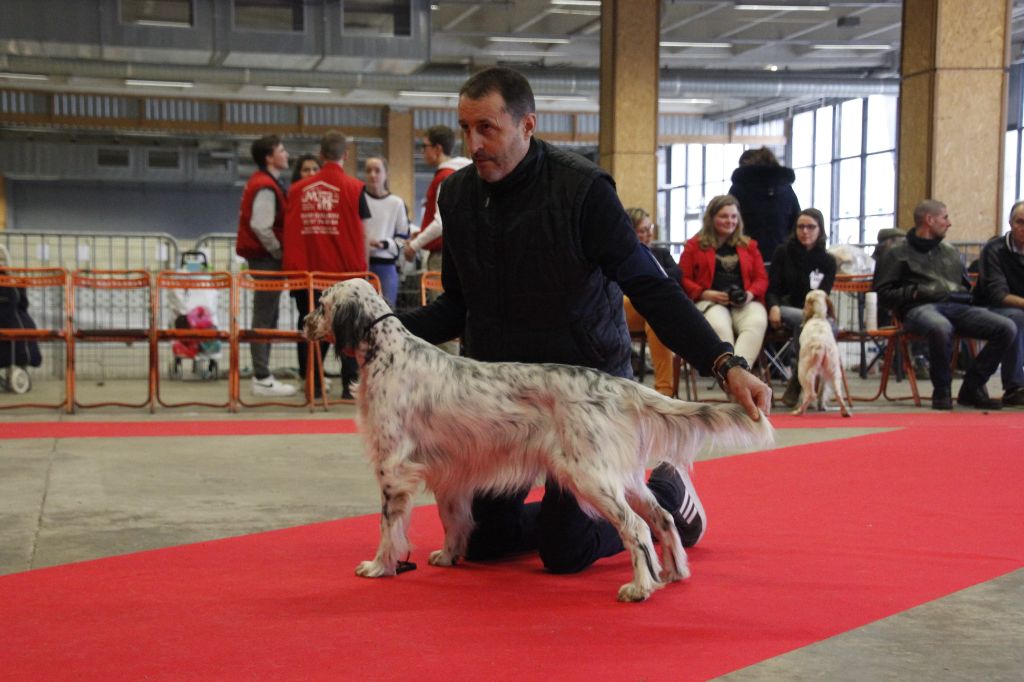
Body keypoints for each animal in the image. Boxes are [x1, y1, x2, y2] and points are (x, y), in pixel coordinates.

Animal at [303, 278, 774, 602]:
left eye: (321, 304)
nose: (304, 323)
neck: (388, 351)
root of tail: (616, 384)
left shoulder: (393, 467)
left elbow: (388, 526)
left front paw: (379, 565)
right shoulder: (451, 473)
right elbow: (453, 520)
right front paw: (448, 556)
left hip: (589, 476)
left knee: (635, 526)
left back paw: (640, 587)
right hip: (616, 475)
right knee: (660, 516)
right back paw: (673, 572)